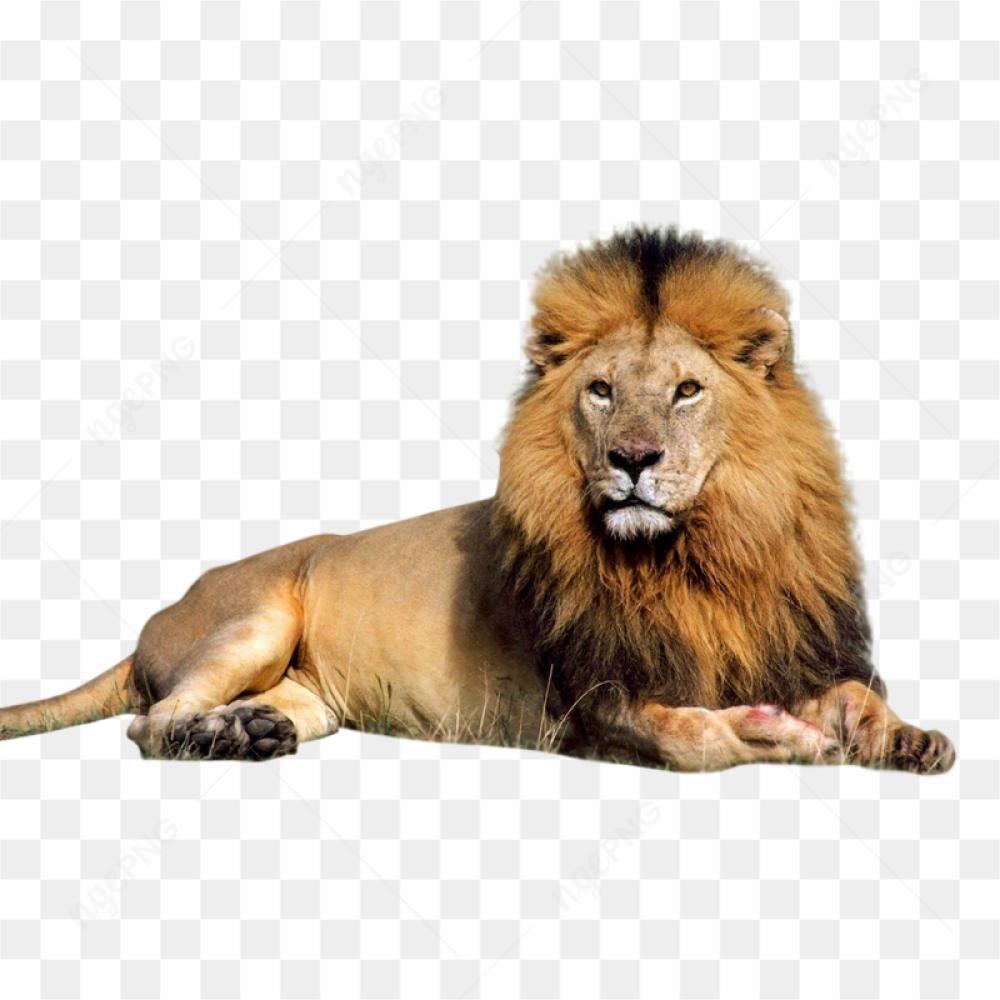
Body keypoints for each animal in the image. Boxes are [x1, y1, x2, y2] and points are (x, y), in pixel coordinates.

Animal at [0, 226, 955, 774]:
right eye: (602, 390)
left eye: (687, 391)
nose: (632, 458)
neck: (697, 557)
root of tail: (154, 622)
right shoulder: (591, 705)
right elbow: (698, 739)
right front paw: (777, 736)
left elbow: (858, 696)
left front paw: (907, 737)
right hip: (254, 618)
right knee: (151, 720)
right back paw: (211, 739)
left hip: (310, 694)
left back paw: (250, 732)